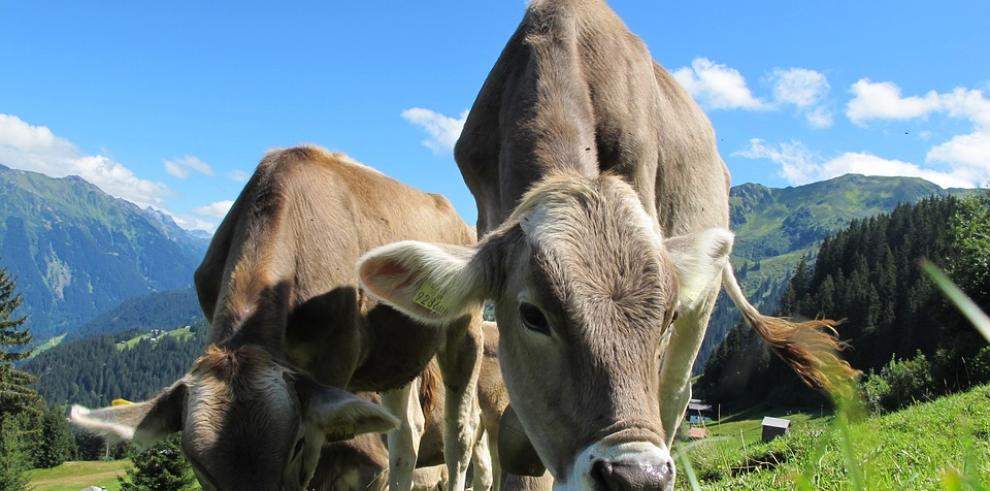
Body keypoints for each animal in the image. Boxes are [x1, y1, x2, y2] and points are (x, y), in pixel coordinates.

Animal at [69, 147, 484, 491]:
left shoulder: (334, 363)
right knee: (406, 434)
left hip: (465, 330)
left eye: (294, 445)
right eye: (197, 464)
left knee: (460, 434)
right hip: (397, 356)